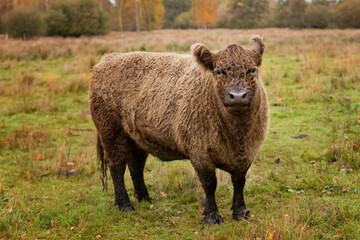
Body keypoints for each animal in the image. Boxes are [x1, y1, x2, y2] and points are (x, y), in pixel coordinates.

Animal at [89, 35, 270, 225]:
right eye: (219, 71)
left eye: (252, 69)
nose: (237, 96)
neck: (238, 135)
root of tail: (107, 59)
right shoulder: (199, 152)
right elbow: (210, 184)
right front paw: (212, 216)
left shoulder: (248, 152)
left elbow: (239, 181)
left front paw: (242, 212)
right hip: (111, 133)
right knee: (116, 166)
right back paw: (125, 204)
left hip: (136, 137)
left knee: (136, 165)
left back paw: (144, 198)